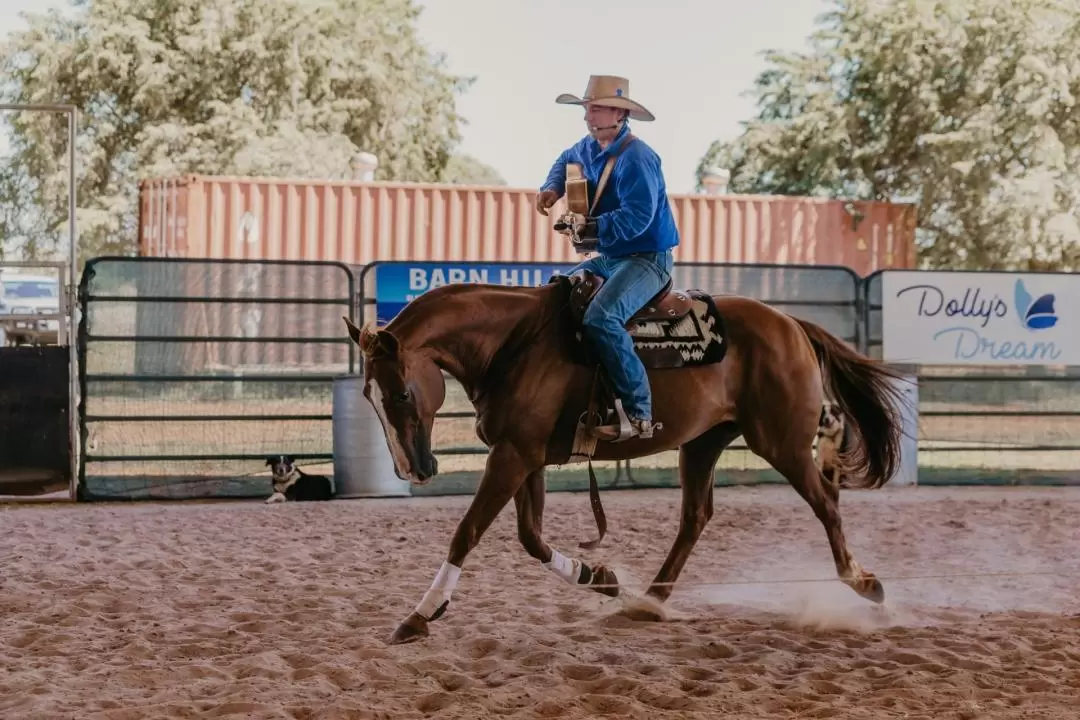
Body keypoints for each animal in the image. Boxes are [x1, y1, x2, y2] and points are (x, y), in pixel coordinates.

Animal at [341, 273, 907, 643]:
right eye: (368, 396)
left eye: (401, 394)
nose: (414, 470)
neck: (514, 343)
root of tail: (790, 323)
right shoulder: (526, 455)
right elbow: (530, 537)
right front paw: (600, 578)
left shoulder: (512, 455)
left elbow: (468, 532)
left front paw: (421, 614)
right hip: (703, 442)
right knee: (695, 516)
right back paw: (648, 601)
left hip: (781, 441)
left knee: (826, 502)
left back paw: (866, 584)